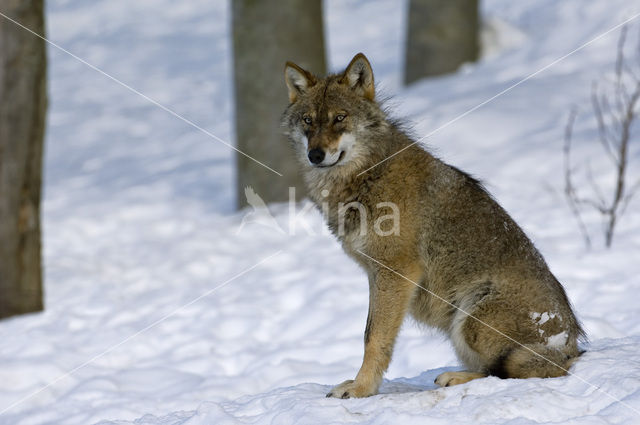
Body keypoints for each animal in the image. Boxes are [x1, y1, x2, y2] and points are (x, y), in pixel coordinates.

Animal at [280, 52, 584, 398]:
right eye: (308, 121)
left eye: (339, 118)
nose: (315, 155)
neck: (368, 174)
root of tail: (571, 346)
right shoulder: (376, 274)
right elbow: (371, 332)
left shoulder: (396, 272)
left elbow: (374, 338)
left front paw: (361, 389)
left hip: (471, 319)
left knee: (517, 372)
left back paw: (455, 377)